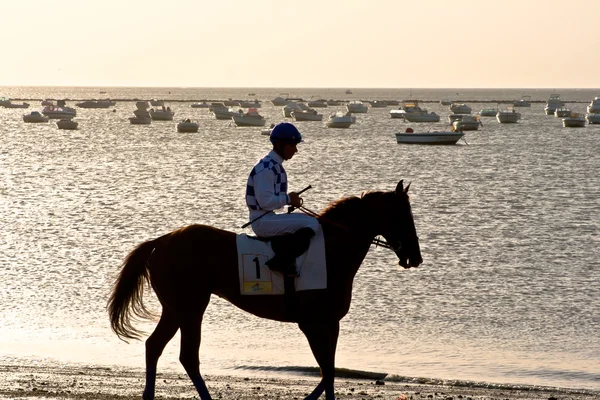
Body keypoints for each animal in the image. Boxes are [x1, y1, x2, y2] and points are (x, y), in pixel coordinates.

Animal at [110, 180, 424, 398]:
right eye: (402, 216)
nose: (416, 257)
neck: (331, 250)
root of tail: (161, 241)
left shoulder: (330, 323)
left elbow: (329, 371)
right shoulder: (312, 323)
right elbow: (327, 371)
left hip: (175, 308)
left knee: (154, 346)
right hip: (191, 307)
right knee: (188, 356)